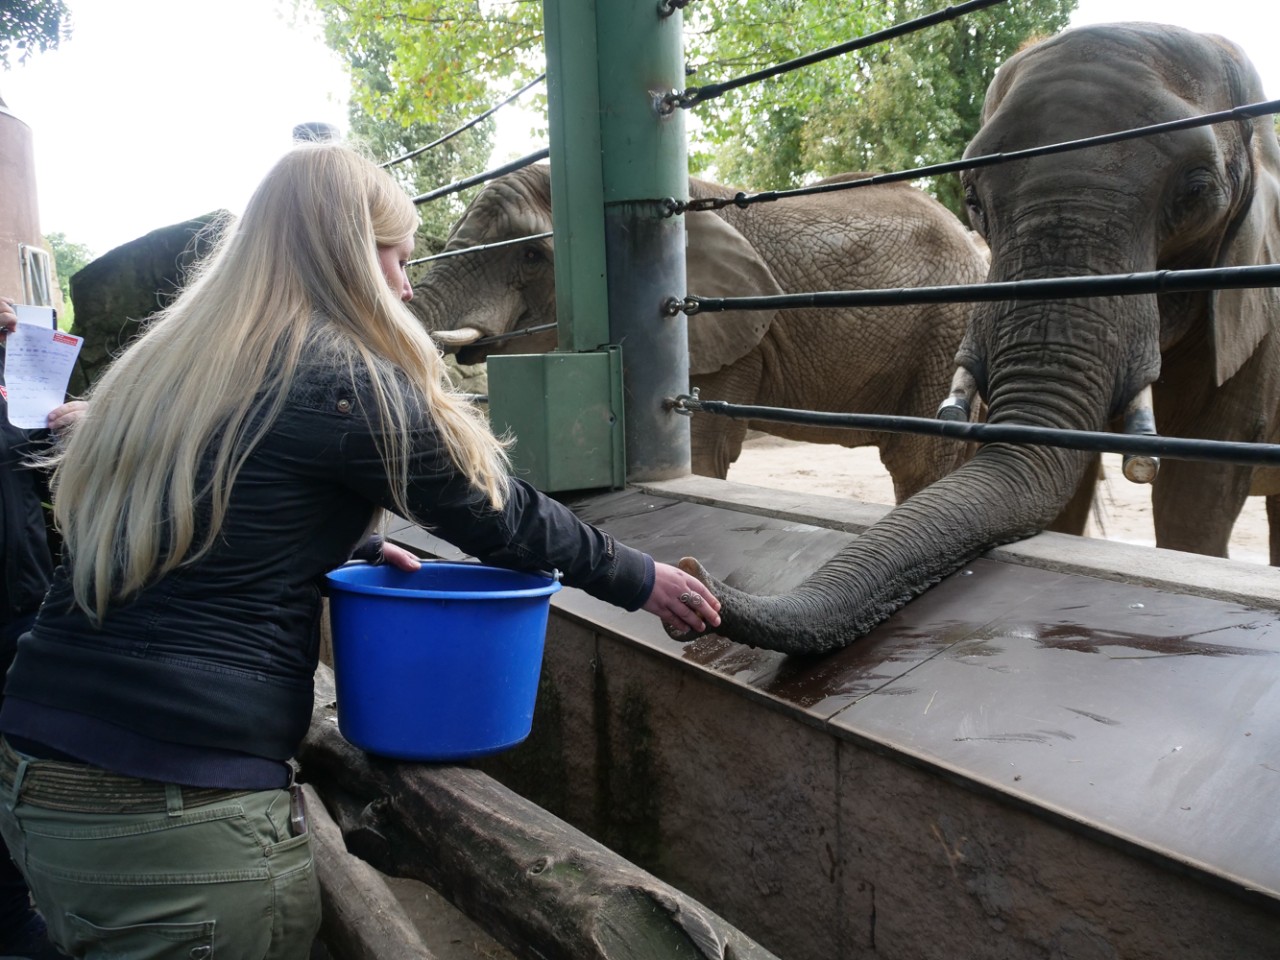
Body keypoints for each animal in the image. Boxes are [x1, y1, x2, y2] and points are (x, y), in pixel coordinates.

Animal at [675, 20, 1274, 655]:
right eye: (975, 195)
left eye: (1195, 195)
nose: (692, 572)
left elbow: (707, 448)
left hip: (940, 331)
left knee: (919, 464)